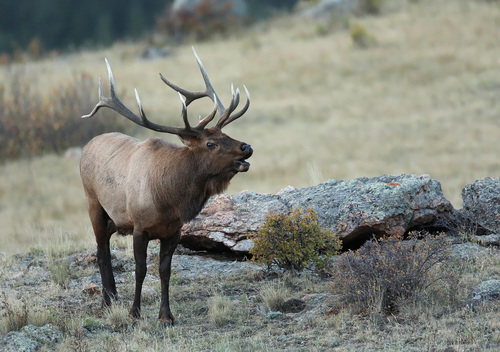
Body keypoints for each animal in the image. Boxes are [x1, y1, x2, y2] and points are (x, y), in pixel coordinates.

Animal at [79, 48, 252, 326]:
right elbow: (140, 270)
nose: (247, 147)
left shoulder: (174, 231)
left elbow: (165, 271)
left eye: (226, 135)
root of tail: (88, 145)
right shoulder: (139, 226)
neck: (170, 200)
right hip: (93, 201)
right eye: (211, 143)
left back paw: (112, 297)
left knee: (102, 246)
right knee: (102, 251)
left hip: (115, 219)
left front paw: (166, 316)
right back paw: (107, 302)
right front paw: (135, 313)